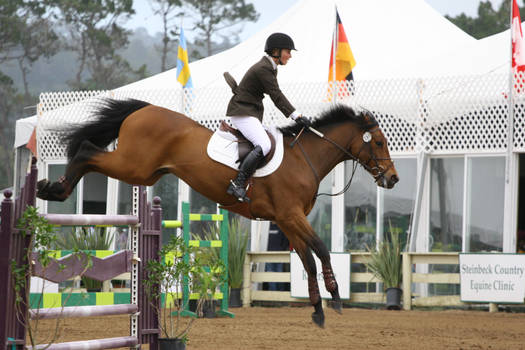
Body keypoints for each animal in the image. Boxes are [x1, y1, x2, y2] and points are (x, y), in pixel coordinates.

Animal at [36, 99, 398, 328]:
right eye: (380, 142)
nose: (393, 179)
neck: (304, 158)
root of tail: (145, 109)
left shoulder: (286, 221)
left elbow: (307, 259)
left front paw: (319, 310)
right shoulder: (291, 216)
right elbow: (320, 249)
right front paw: (335, 295)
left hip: (145, 173)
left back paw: (52, 189)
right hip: (132, 166)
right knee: (86, 150)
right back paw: (53, 189)